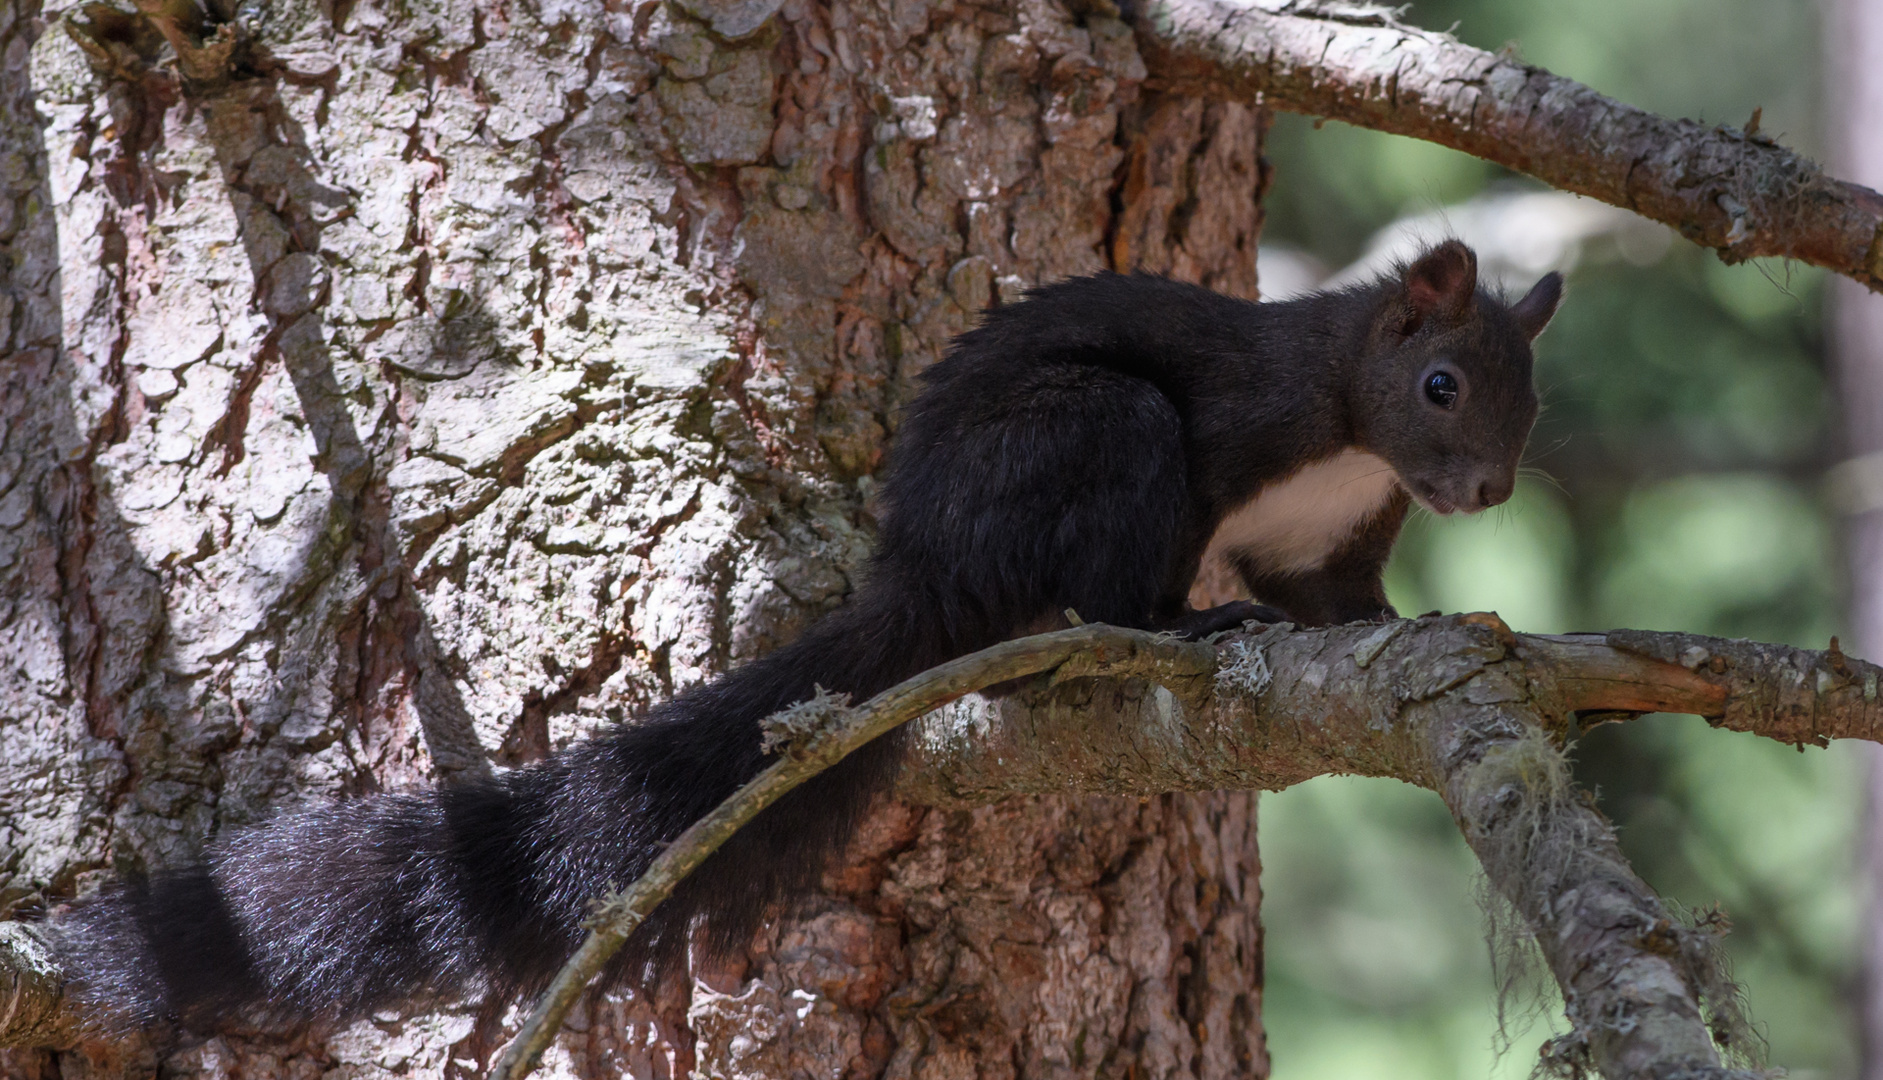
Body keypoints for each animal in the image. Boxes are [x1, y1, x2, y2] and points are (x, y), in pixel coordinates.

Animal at [51, 240, 1566, 1038]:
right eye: (1440, 382)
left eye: (1525, 394)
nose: (1491, 492)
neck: (1349, 437)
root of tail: (926, 570)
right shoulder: (1234, 428)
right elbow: (1181, 555)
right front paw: (1195, 613)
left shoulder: (1336, 541)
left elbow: (1347, 608)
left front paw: (1435, 624)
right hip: (1085, 434)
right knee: (1091, 569)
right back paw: (1157, 624)